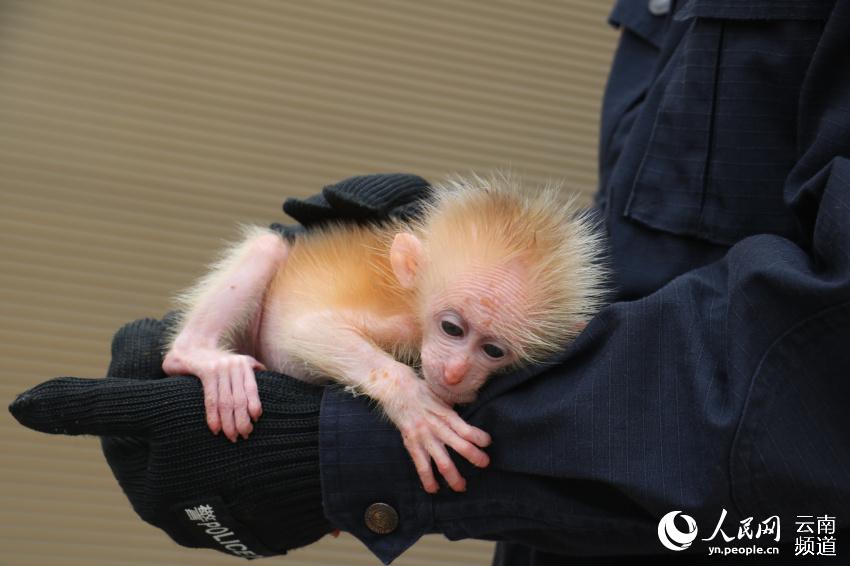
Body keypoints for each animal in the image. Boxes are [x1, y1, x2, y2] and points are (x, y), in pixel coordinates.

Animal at [164, 175, 604, 494]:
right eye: (452, 328)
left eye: (493, 350)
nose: (457, 373)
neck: (414, 302)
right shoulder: (402, 322)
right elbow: (305, 331)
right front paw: (414, 405)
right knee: (267, 248)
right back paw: (201, 357)